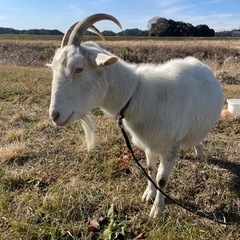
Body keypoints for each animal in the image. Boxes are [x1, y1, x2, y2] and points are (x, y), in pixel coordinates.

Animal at [47, 14, 224, 218]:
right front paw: (148, 194)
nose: (54, 115)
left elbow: (162, 179)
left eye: (79, 69)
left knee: (198, 138)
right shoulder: (149, 143)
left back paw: (201, 155)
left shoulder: (171, 146)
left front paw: (157, 210)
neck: (136, 94)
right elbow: (151, 169)